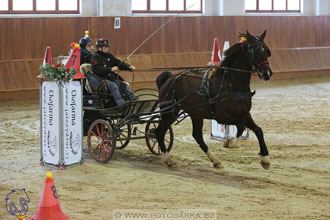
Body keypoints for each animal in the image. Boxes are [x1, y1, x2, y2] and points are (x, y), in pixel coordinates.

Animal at [156, 30, 272, 169]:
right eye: (255, 50)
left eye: (266, 50)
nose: (267, 74)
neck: (231, 84)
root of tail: (169, 78)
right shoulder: (222, 117)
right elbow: (240, 125)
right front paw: (231, 142)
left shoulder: (244, 113)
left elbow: (258, 130)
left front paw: (265, 159)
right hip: (169, 113)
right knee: (159, 132)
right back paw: (168, 158)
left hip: (196, 114)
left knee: (197, 136)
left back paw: (215, 160)